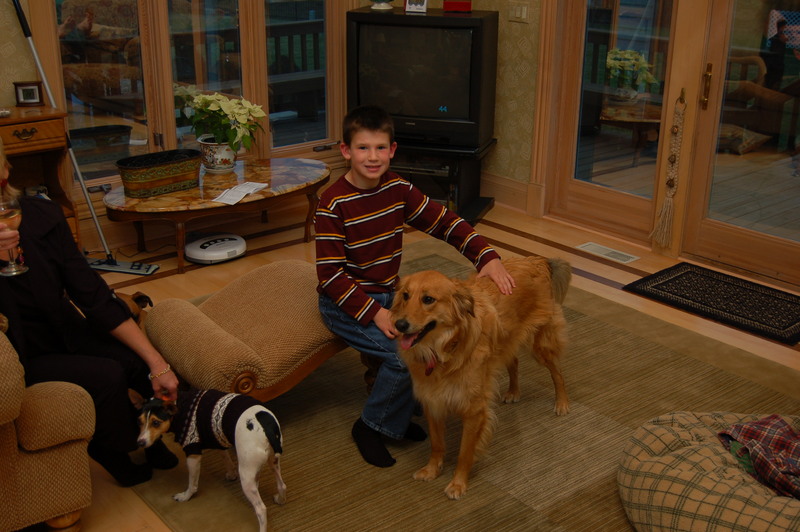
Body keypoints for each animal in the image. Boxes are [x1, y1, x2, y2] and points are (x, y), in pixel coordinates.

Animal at [134, 390, 287, 532]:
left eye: (155, 423)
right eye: (139, 422)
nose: (140, 442)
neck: (178, 406)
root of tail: (266, 425)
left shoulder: (193, 453)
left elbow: (192, 484)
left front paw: (185, 496)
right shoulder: (218, 437)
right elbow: (224, 456)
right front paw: (231, 473)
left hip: (246, 476)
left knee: (261, 509)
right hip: (272, 462)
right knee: (282, 485)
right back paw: (280, 499)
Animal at [391, 255, 571, 500]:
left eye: (428, 299)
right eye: (405, 296)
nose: (399, 325)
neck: (446, 349)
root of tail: (536, 260)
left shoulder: (474, 411)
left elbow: (464, 452)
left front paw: (458, 484)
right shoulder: (433, 401)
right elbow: (436, 444)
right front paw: (432, 470)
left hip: (541, 345)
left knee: (557, 372)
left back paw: (561, 402)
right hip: (507, 341)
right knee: (514, 362)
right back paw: (513, 391)